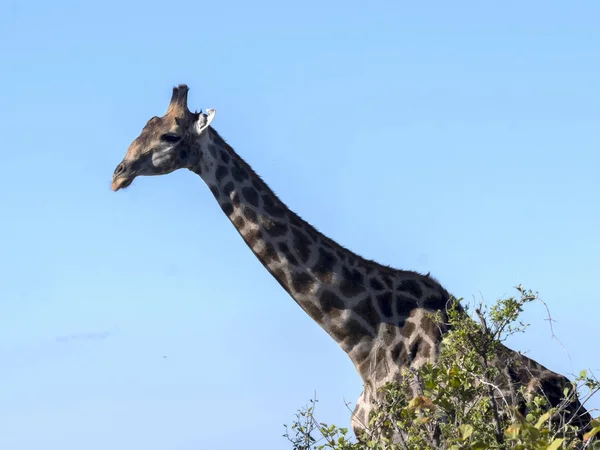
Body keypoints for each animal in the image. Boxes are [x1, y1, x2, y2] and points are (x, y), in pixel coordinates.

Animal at [111, 85, 592, 442]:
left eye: (171, 137)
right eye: (144, 127)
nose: (118, 174)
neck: (360, 339)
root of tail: (577, 409)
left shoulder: (409, 433)